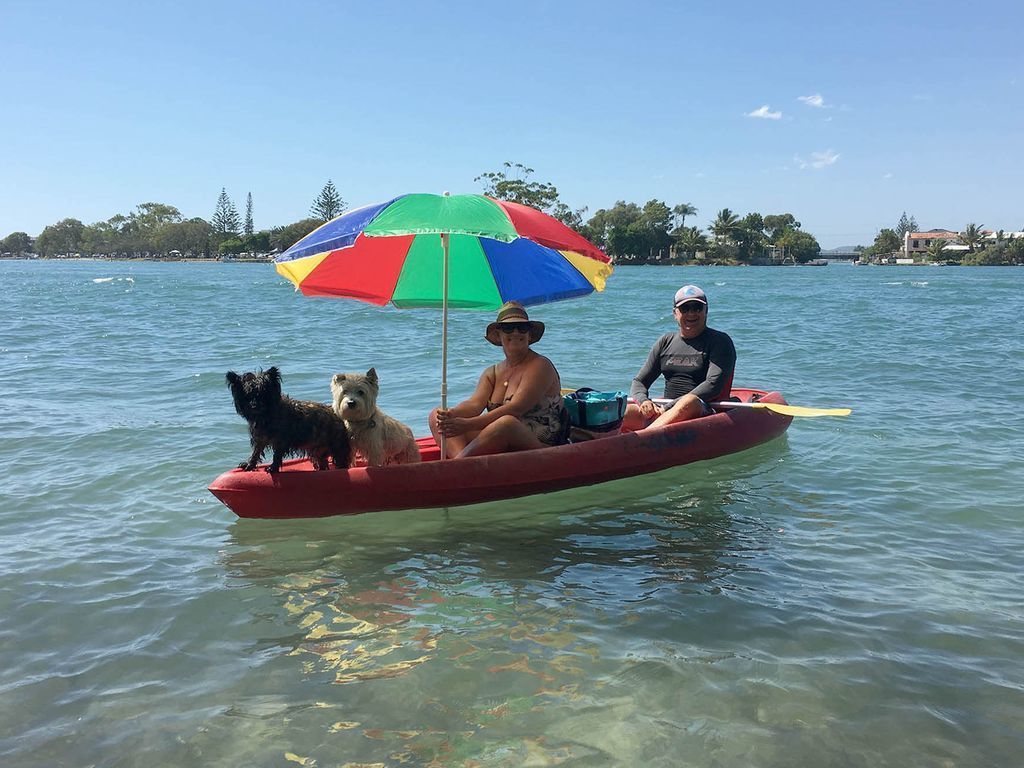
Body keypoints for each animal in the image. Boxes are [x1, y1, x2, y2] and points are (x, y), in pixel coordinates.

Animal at [224, 368, 352, 473]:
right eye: (248, 395)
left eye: (263, 393)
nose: (254, 405)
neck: (265, 415)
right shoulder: (260, 437)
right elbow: (256, 452)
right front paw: (249, 465)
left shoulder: (281, 440)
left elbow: (277, 455)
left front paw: (273, 468)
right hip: (317, 449)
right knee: (322, 462)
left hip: (336, 446)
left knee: (340, 461)